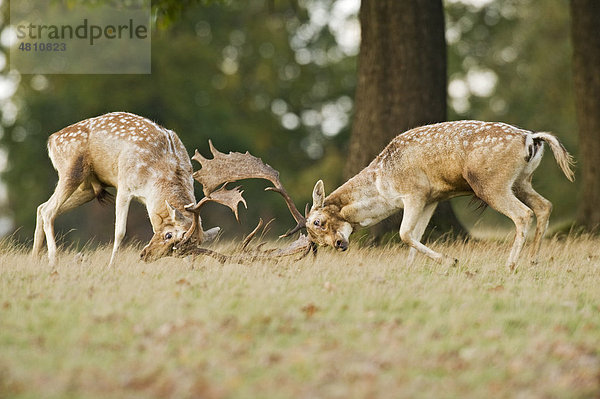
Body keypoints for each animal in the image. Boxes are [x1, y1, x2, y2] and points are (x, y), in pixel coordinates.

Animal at [32, 112, 220, 268]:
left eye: (189, 248)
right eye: (168, 235)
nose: (145, 255)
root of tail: (51, 140)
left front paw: (190, 269)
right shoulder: (124, 185)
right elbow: (120, 231)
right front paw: (111, 266)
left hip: (88, 188)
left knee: (42, 207)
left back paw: (36, 259)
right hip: (71, 171)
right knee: (49, 210)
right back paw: (53, 260)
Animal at [286, 121, 576, 272]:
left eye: (318, 222)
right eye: (316, 240)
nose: (338, 244)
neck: (383, 184)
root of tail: (532, 139)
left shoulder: (414, 191)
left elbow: (404, 234)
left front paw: (451, 260)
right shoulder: (432, 198)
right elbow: (416, 234)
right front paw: (410, 269)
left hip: (491, 183)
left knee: (523, 214)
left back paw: (511, 264)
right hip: (521, 181)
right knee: (544, 206)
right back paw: (534, 260)